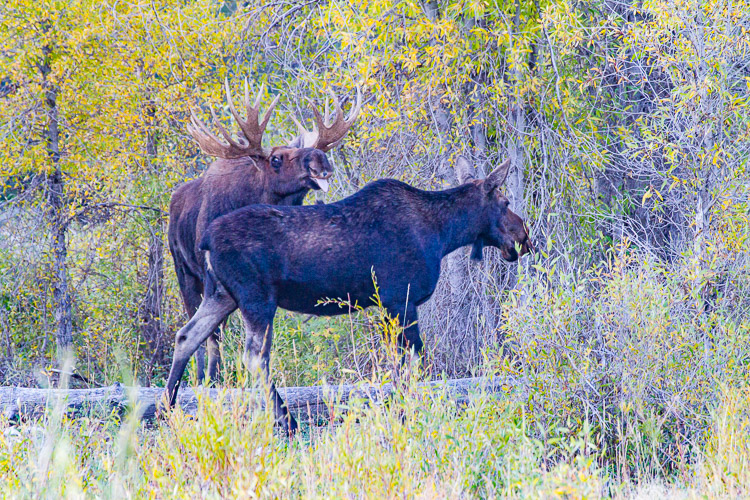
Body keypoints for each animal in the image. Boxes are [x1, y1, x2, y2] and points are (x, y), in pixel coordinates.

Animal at [164, 158, 532, 434]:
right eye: (505, 203)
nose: (525, 236)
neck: (444, 235)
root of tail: (206, 241)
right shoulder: (402, 300)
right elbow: (414, 364)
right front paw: (413, 412)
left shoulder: (388, 306)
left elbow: (397, 368)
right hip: (256, 298)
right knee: (254, 357)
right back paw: (287, 421)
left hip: (221, 295)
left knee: (186, 335)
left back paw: (168, 408)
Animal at [168, 78, 361, 382]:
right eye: (277, 159)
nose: (320, 159)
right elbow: (216, 337)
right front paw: (211, 380)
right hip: (183, 271)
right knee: (200, 331)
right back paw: (201, 378)